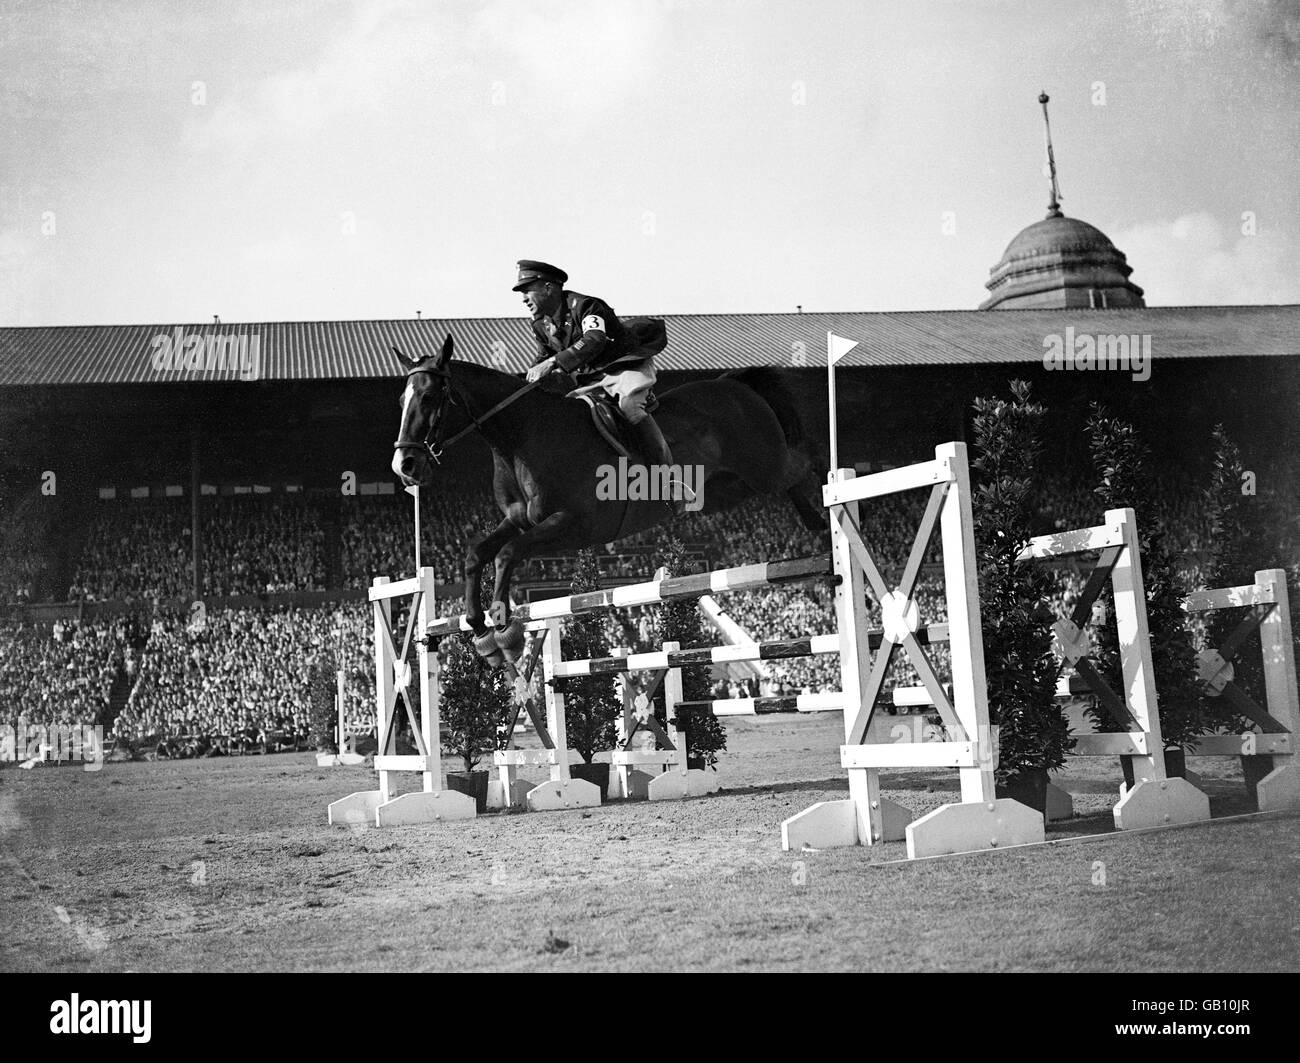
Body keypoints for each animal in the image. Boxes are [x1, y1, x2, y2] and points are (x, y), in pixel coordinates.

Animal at [390, 335, 826, 657]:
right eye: (401, 400)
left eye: (428, 398)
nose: (404, 465)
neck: (521, 438)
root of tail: (731, 384)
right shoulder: (519, 519)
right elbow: (477, 552)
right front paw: (478, 625)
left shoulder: (573, 524)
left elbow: (507, 553)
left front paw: (502, 626)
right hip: (728, 489)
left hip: (763, 467)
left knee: (802, 465)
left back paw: (825, 515)